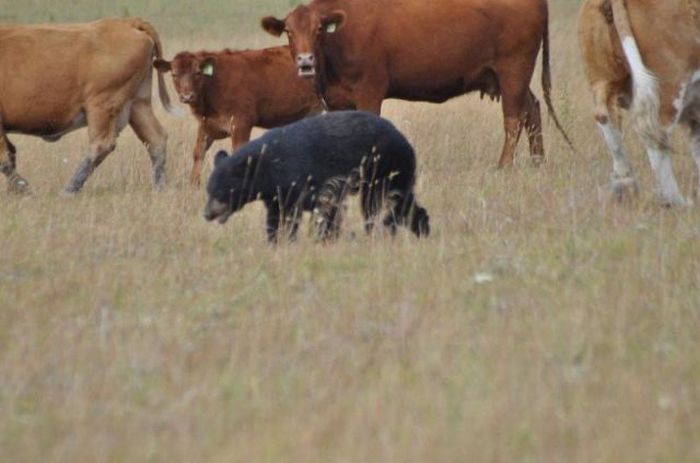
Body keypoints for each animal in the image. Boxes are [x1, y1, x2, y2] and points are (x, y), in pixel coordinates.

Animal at [0, 17, 175, 192]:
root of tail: (127, 22)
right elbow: (10, 153)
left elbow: (4, 159)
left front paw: (24, 188)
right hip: (138, 105)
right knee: (156, 139)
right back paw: (159, 188)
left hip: (102, 106)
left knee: (101, 144)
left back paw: (69, 190)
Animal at [153, 46, 322, 186]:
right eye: (174, 74)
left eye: (198, 73)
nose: (187, 96)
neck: (214, 83)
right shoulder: (207, 124)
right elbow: (198, 153)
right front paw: (193, 185)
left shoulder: (241, 124)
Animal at [202, 111, 430, 243]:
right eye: (208, 191)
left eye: (219, 191)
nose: (207, 214)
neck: (268, 166)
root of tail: (406, 142)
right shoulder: (276, 193)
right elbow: (276, 216)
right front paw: (276, 240)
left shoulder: (303, 179)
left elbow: (320, 208)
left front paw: (323, 237)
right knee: (403, 201)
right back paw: (421, 228)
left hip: (383, 167)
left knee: (377, 204)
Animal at [262, 0, 576, 169]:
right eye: (289, 31)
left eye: (318, 29)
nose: (305, 61)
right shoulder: (337, 102)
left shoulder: (369, 94)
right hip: (504, 77)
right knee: (532, 110)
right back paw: (537, 162)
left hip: (513, 71)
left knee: (513, 118)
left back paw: (504, 166)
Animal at [580, 0, 700, 207]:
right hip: (669, 89)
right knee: (656, 138)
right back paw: (677, 202)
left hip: (602, 80)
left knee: (608, 122)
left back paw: (624, 184)